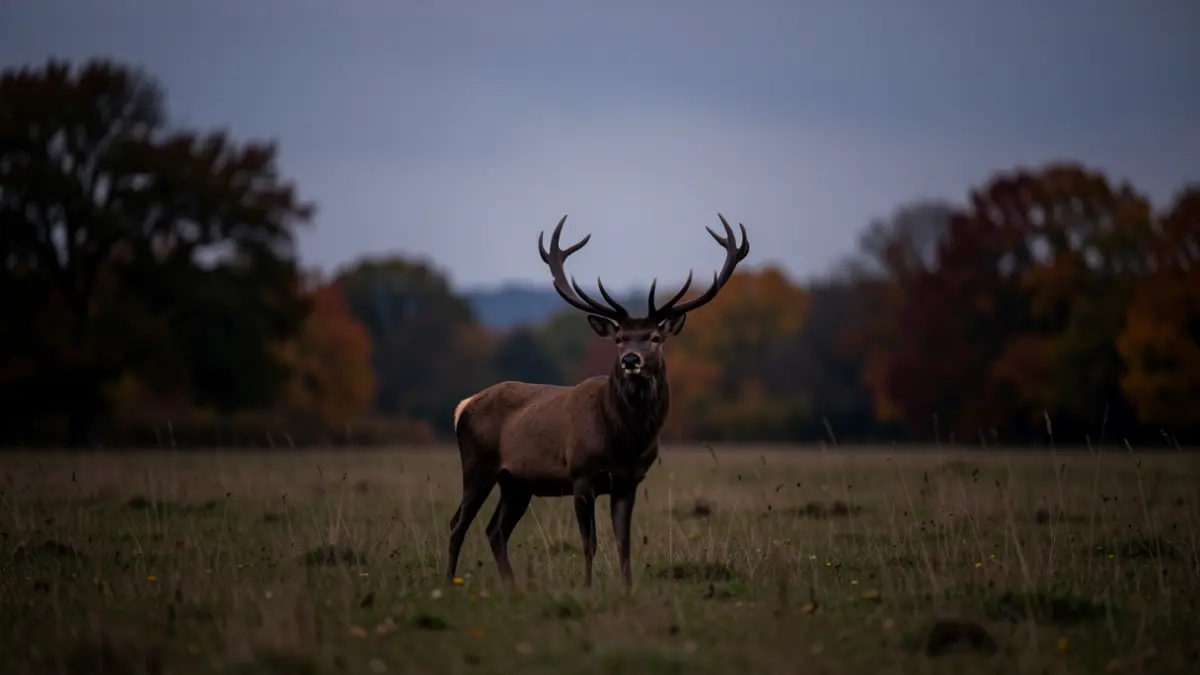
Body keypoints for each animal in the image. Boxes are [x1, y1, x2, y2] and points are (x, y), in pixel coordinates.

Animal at [446, 213, 750, 591]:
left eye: (655, 338)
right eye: (619, 338)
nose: (631, 360)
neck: (624, 439)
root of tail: (463, 406)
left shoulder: (628, 481)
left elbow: (623, 541)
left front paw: (627, 588)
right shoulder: (581, 474)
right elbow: (589, 541)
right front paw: (588, 587)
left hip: (516, 482)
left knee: (495, 530)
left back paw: (511, 586)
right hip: (477, 465)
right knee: (458, 523)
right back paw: (448, 583)